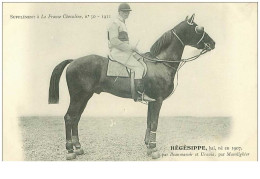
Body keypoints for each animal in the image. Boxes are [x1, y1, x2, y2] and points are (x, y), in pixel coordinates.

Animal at [48, 14, 215, 160]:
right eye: (199, 29)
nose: (213, 43)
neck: (160, 63)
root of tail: (73, 61)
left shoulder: (152, 101)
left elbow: (149, 121)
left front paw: (148, 145)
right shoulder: (158, 100)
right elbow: (154, 122)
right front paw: (154, 149)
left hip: (85, 97)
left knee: (75, 118)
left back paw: (78, 147)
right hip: (79, 96)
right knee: (69, 117)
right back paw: (70, 150)